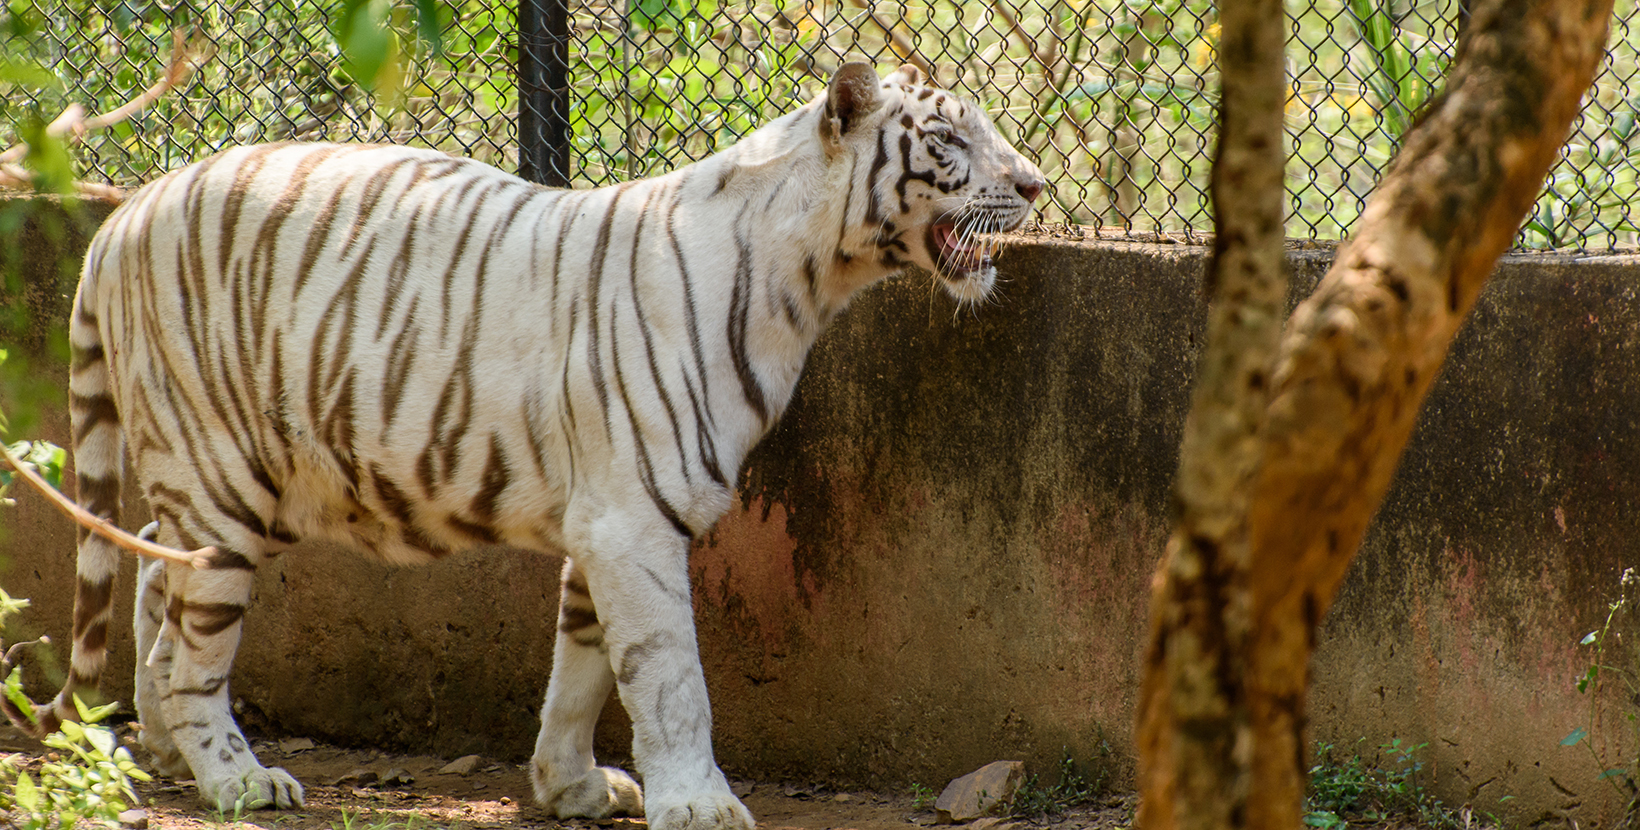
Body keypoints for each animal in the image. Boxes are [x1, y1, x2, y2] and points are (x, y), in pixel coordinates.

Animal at [3, 61, 1036, 826]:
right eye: (949, 141)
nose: (1032, 183)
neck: (811, 282)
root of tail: (126, 211)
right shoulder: (633, 522)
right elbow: (667, 676)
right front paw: (698, 802)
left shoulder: (607, 519)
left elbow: (583, 669)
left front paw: (569, 785)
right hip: (224, 477)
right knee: (196, 639)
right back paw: (234, 775)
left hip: (246, 481)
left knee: (151, 572)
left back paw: (159, 743)